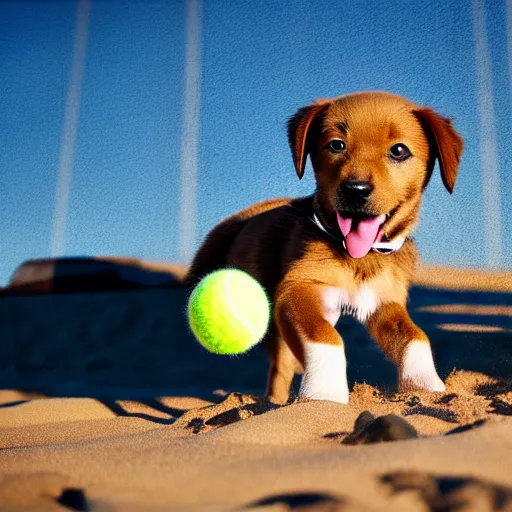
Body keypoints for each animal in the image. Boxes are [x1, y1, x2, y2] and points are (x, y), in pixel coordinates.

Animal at [185, 91, 464, 404]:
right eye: (336, 145)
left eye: (399, 151)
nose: (356, 190)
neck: (359, 257)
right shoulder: (298, 288)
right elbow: (325, 336)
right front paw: (324, 393)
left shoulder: (384, 302)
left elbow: (416, 337)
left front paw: (426, 386)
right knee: (280, 371)